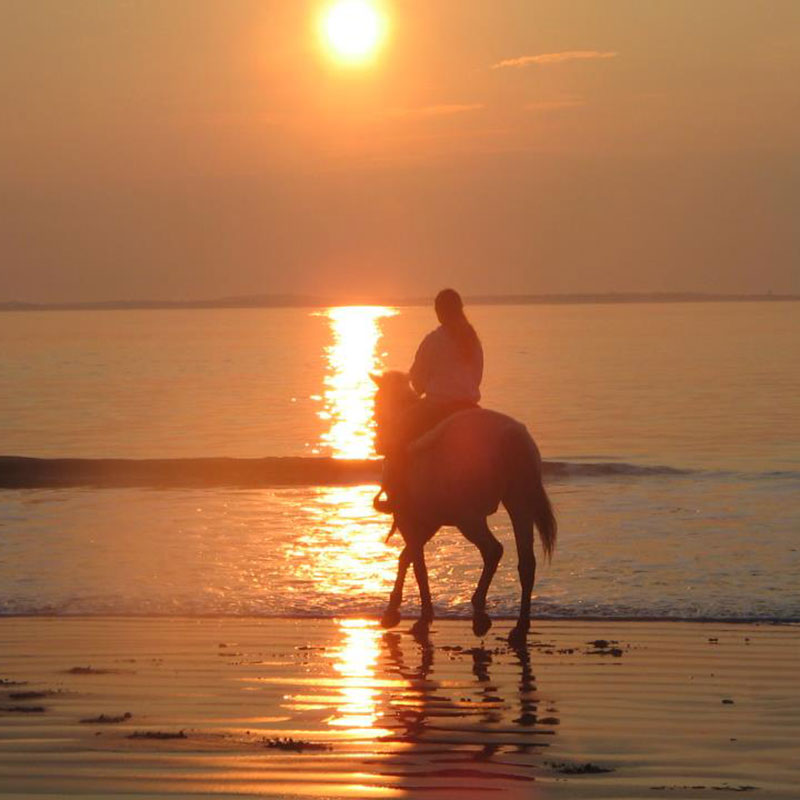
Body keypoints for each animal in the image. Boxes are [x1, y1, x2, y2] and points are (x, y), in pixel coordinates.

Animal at [371, 371, 557, 646]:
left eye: (376, 403)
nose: (377, 441)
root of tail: (511, 435)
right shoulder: (431, 521)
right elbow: (408, 558)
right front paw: (398, 611)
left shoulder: (408, 519)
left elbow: (416, 563)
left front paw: (414, 615)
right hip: (518, 503)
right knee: (526, 562)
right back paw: (519, 628)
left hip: (469, 518)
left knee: (493, 550)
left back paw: (480, 614)